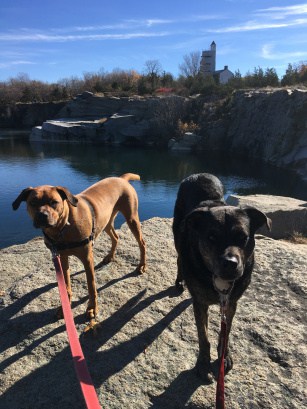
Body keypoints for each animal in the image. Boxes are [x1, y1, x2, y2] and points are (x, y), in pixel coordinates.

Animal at [12, 174, 147, 324]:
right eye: (33, 203)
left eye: (54, 202)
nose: (42, 215)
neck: (62, 228)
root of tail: (121, 178)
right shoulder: (62, 258)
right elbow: (66, 284)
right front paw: (64, 307)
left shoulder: (87, 258)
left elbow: (91, 286)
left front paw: (92, 308)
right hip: (105, 221)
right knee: (115, 237)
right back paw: (110, 257)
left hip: (131, 218)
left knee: (142, 243)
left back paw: (141, 265)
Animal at [173, 172, 272, 382]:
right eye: (211, 237)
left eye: (243, 237)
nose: (230, 263)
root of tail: (199, 174)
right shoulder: (201, 304)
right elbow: (203, 336)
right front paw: (203, 363)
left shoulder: (231, 302)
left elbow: (225, 333)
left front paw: (223, 357)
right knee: (179, 258)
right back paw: (180, 281)